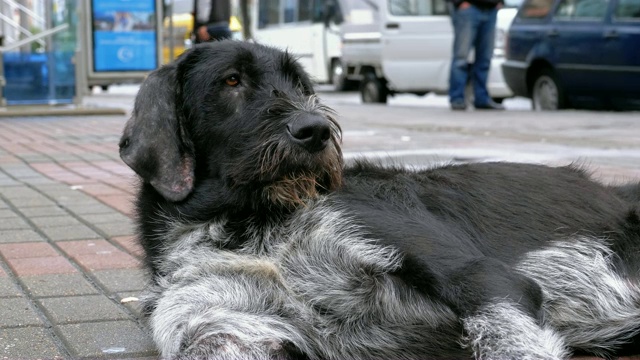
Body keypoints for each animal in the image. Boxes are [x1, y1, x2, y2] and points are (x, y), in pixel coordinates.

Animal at [120, 40, 640, 360]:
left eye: (301, 84)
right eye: (231, 80)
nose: (315, 129)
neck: (246, 226)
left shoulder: (481, 277)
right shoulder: (218, 321)